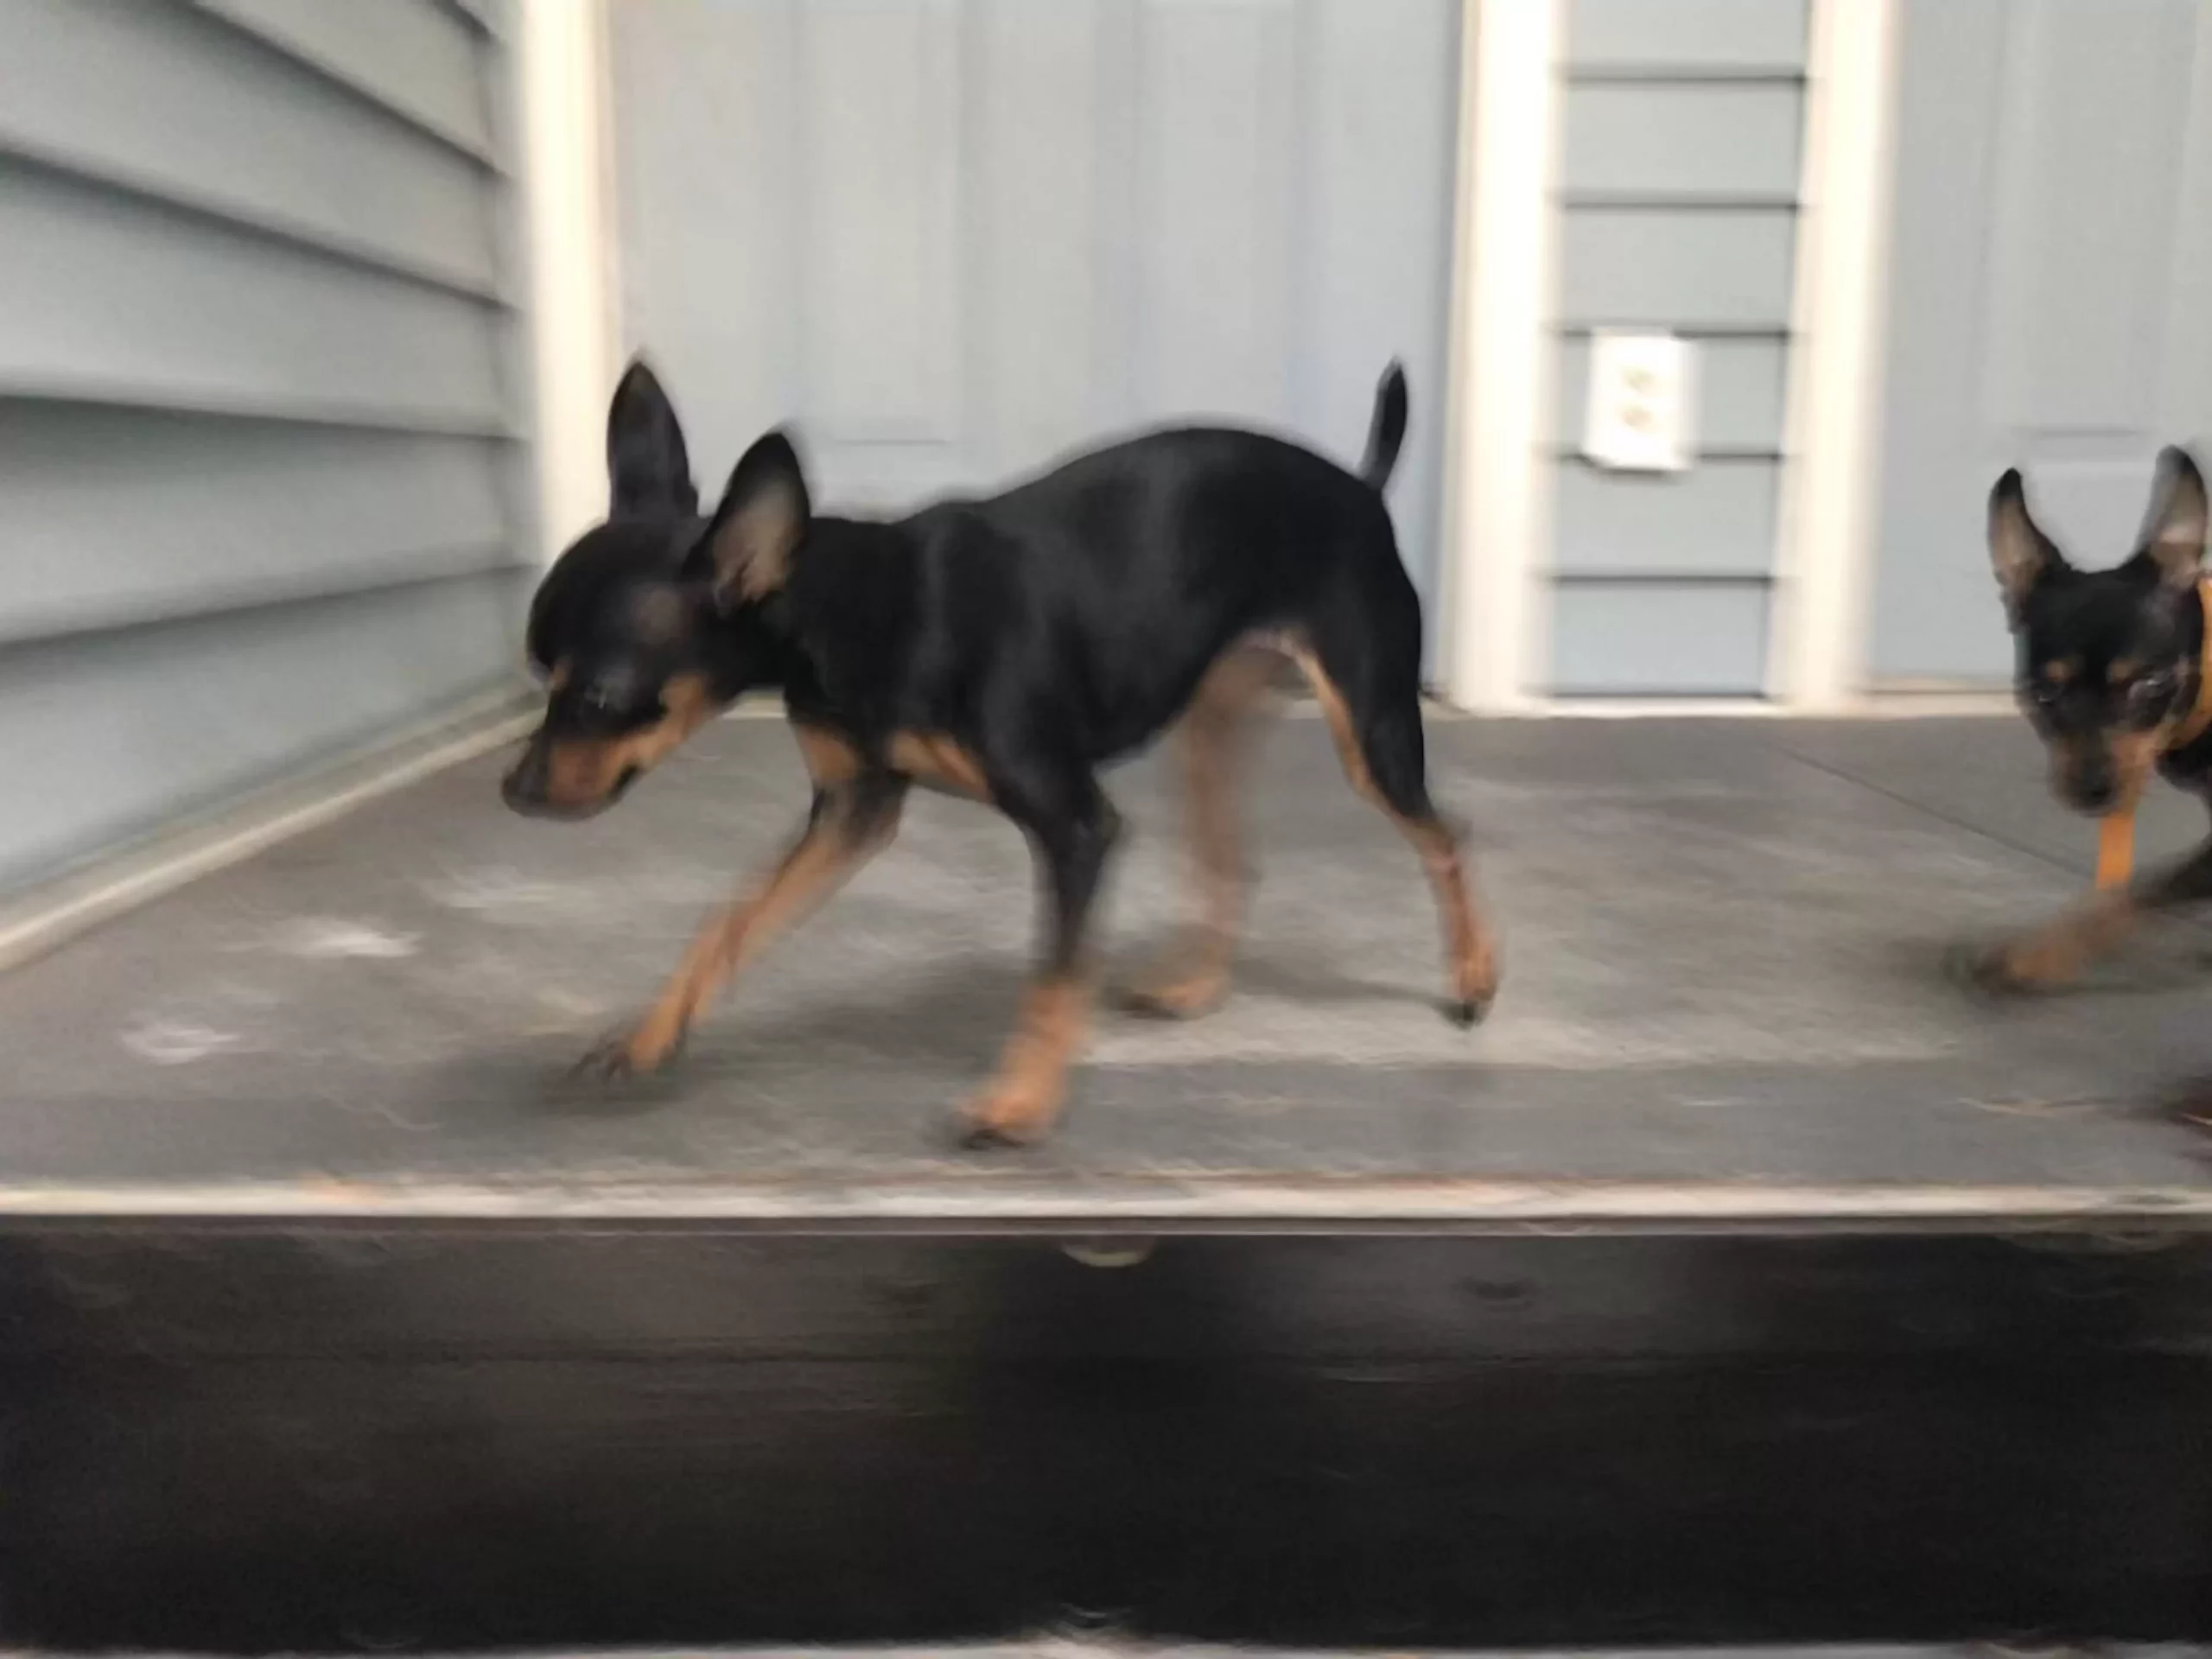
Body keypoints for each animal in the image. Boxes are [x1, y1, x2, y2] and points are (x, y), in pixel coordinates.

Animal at [506, 358, 1495, 1150]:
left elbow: (1051, 976)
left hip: (1369, 733)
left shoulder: (1075, 827)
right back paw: (1195, 987)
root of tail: (1362, 488)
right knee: (1235, 860)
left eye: (598, 699)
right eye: (537, 675)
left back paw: (1474, 979)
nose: (514, 790)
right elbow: (731, 919)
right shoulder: (854, 811)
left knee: (1449, 836)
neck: (863, 609)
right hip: (1213, 726)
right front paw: (650, 1035)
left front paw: (1017, 1104)